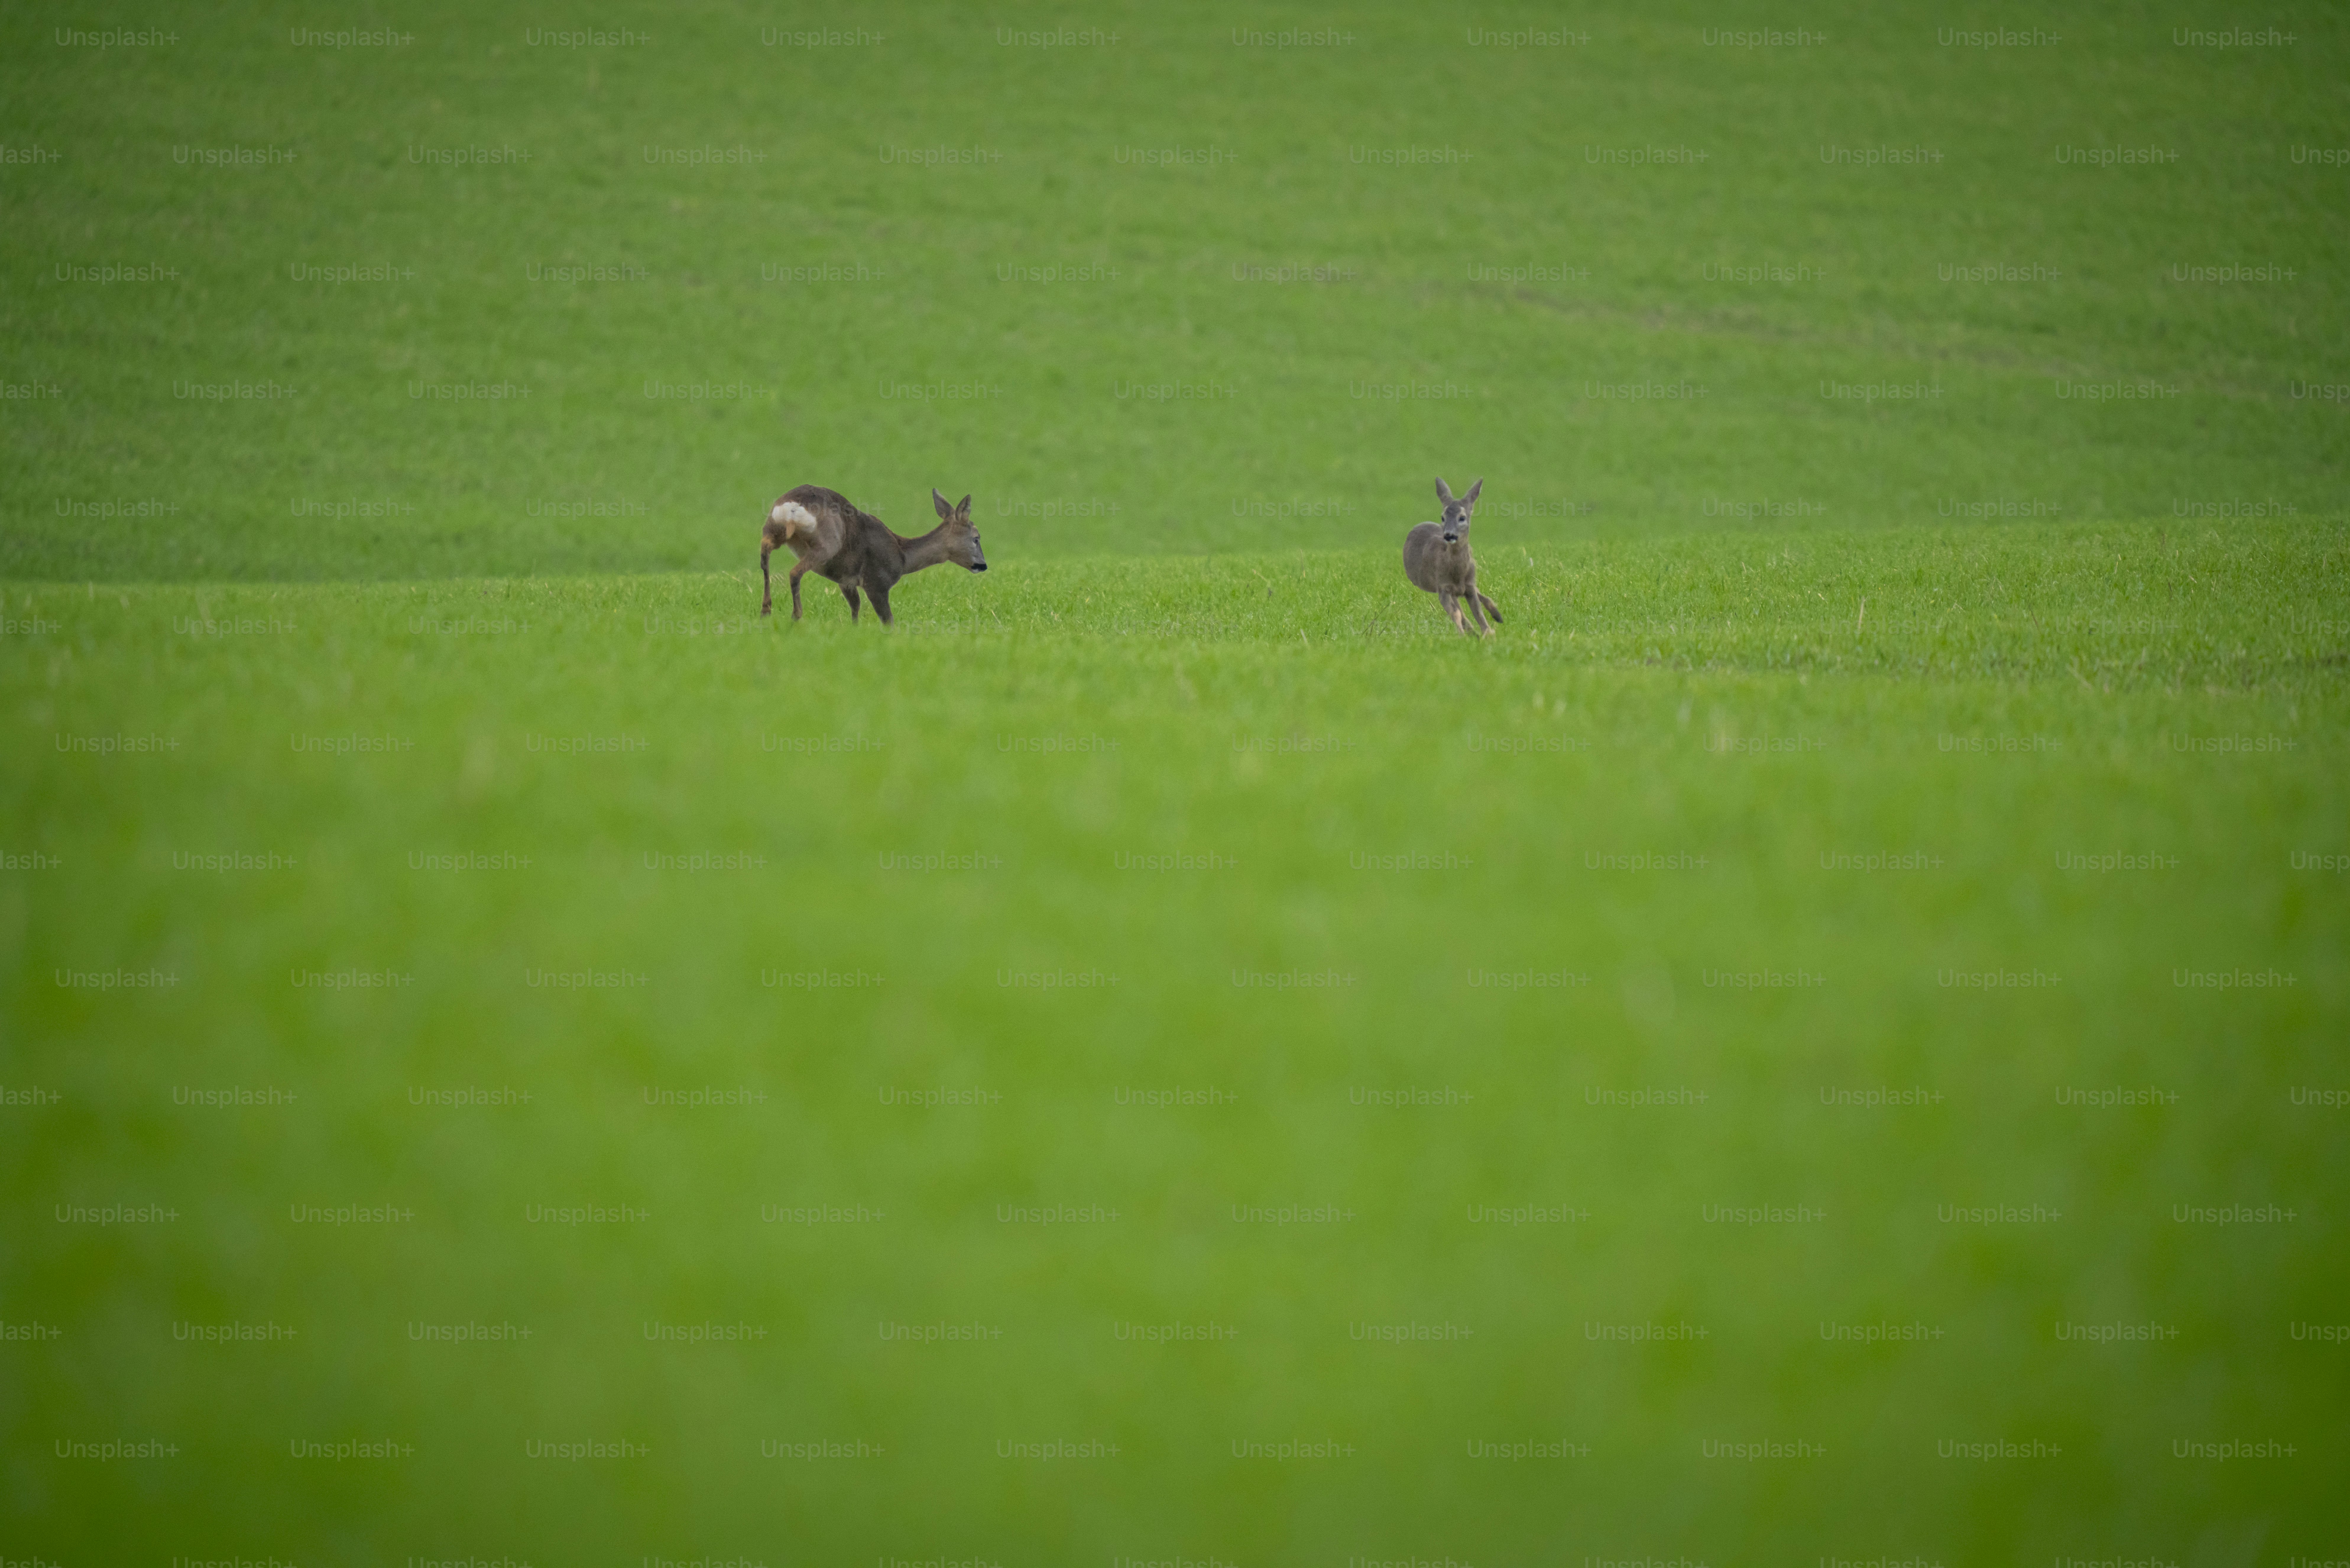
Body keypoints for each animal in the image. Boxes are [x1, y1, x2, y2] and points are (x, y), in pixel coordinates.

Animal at [761, 485, 987, 626]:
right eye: (976, 538)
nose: (983, 565)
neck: (903, 557)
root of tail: (792, 507)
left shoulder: (846, 581)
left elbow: (855, 611)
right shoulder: (877, 582)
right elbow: (889, 621)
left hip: (772, 529)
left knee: (765, 559)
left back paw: (766, 610)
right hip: (828, 544)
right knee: (794, 572)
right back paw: (795, 616)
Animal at [1403, 476, 1501, 636]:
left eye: (1462, 518)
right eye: (1443, 517)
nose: (1449, 535)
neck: (1457, 574)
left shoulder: (1469, 586)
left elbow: (1479, 614)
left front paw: (1489, 634)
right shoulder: (1442, 587)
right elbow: (1457, 614)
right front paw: (1463, 636)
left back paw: (1497, 617)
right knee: (1460, 610)